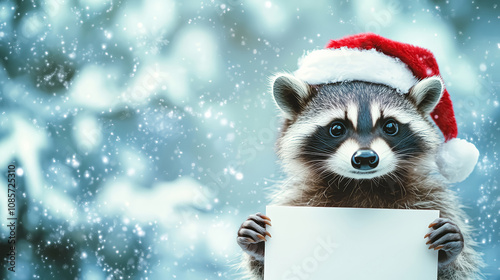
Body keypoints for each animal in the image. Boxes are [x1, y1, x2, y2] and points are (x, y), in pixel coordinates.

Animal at [238, 75, 484, 280]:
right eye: (336, 128)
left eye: (390, 126)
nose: (365, 158)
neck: (362, 184)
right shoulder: (298, 197)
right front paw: (260, 252)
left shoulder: (433, 198)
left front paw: (448, 255)